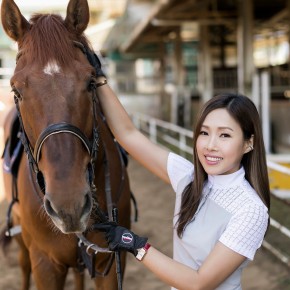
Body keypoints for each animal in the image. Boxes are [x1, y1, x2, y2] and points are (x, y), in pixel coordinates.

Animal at [0, 0, 131, 290]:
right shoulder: (45, 264)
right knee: (23, 266)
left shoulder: (112, 263)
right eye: (16, 91)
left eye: (91, 82)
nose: (68, 204)